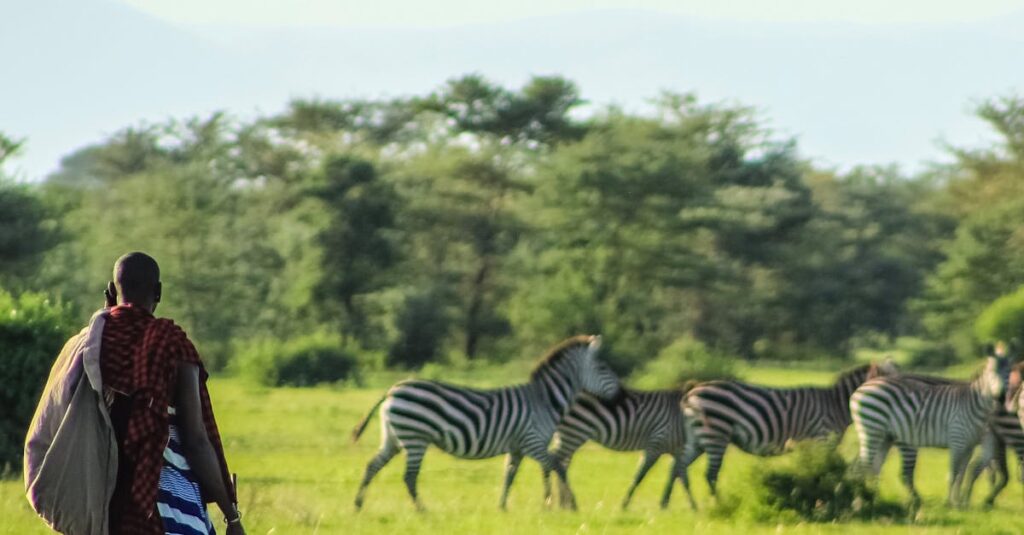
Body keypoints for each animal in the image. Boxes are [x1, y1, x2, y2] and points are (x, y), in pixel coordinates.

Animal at [351, 335, 621, 511]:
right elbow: (557, 466)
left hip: (394, 437)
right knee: (409, 477)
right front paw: (569, 504)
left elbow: (509, 475)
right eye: (603, 367)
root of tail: (392, 389)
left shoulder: (518, 446)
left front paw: (503, 507)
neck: (544, 400)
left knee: (372, 466)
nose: (620, 397)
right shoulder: (533, 442)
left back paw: (358, 504)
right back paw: (422, 510)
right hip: (415, 437)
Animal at [544, 385, 698, 511]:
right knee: (553, 460)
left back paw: (564, 505)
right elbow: (640, 475)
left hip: (568, 435)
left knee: (560, 465)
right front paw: (625, 504)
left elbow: (680, 476)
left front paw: (687, 505)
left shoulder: (677, 450)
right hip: (574, 432)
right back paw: (552, 503)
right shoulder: (657, 443)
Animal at [681, 361, 896, 496]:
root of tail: (693, 391)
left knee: (681, 468)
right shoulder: (822, 438)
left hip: (699, 438)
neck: (834, 405)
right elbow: (822, 471)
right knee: (709, 475)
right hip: (716, 433)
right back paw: (718, 504)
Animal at [849, 353, 1012, 508]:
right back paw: (863, 500)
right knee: (864, 467)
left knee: (874, 467)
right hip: (874, 430)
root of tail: (859, 391)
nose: (1001, 397)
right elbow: (958, 473)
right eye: (992, 373)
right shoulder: (960, 439)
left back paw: (873, 498)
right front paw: (952, 503)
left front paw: (960, 502)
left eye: (1008, 373)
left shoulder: (971, 445)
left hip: (884, 437)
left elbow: (963, 473)